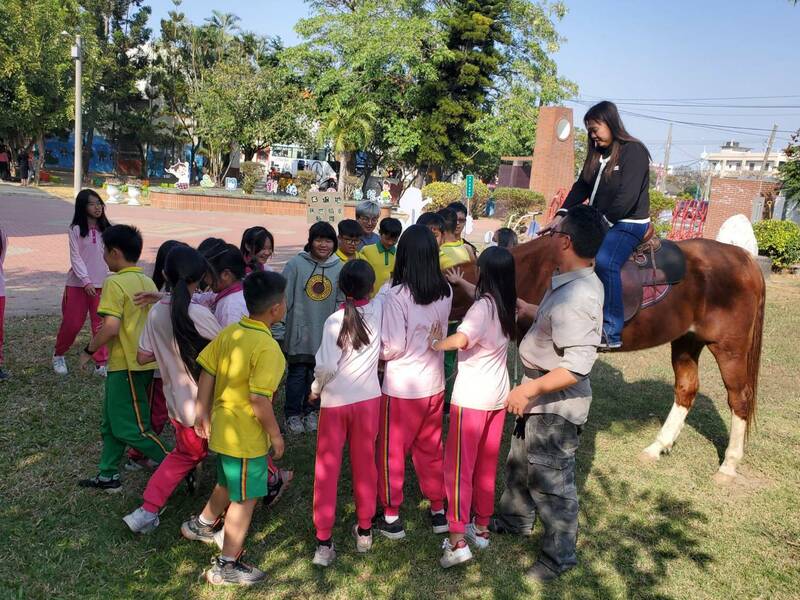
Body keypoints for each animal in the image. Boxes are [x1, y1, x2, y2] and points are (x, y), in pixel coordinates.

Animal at [454, 234, 764, 482]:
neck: (533, 271)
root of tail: (743, 258)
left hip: (729, 347)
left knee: (739, 398)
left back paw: (728, 465)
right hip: (687, 341)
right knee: (686, 389)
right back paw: (657, 446)